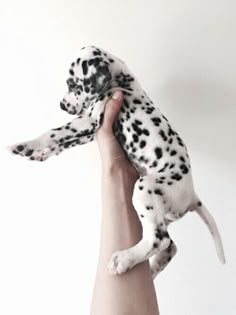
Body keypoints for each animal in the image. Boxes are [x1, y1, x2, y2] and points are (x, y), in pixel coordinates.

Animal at [8, 45, 226, 278]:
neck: (121, 82)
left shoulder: (89, 122)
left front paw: (26, 145)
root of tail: (192, 195)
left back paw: (123, 259)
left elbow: (52, 133)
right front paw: (36, 153)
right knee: (170, 246)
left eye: (72, 84)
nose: (62, 105)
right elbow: (62, 143)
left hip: (145, 188)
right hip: (159, 212)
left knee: (159, 240)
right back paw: (152, 269)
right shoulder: (91, 132)